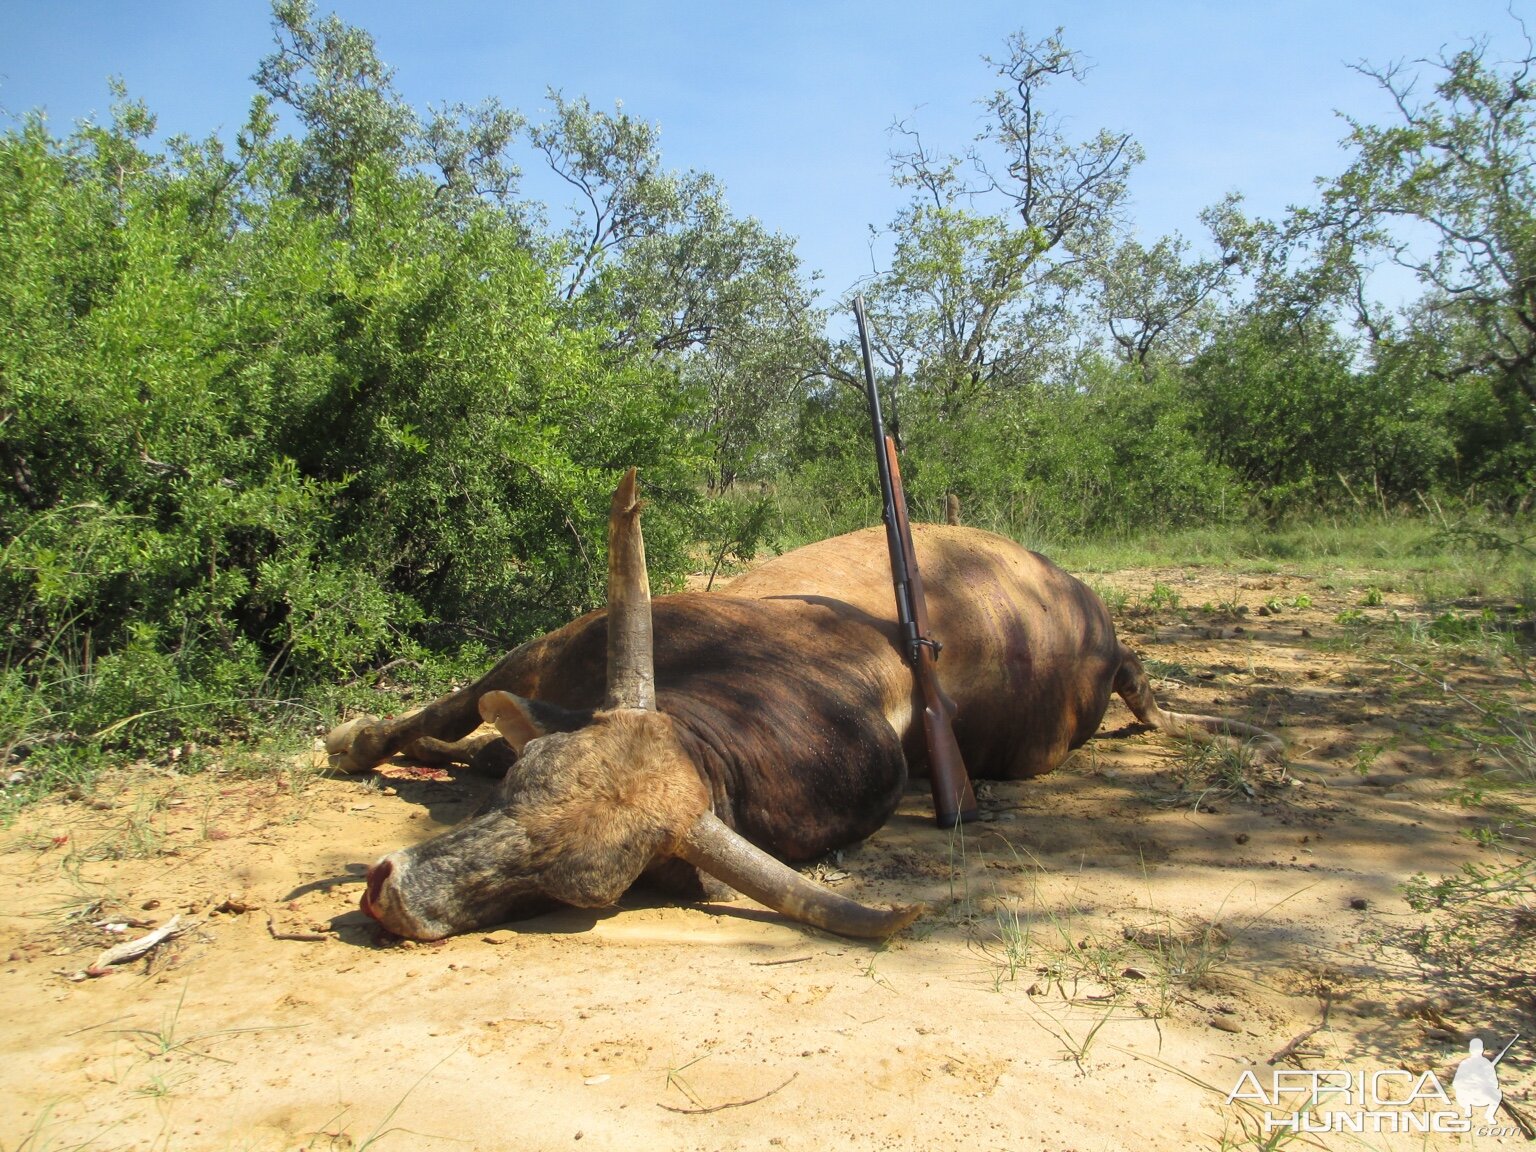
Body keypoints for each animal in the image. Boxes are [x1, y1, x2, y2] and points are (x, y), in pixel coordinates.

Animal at [336, 466, 1284, 940]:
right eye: (520, 796)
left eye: (582, 890)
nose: (393, 895)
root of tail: (1112, 640)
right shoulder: (542, 650)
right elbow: (433, 718)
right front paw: (351, 739)